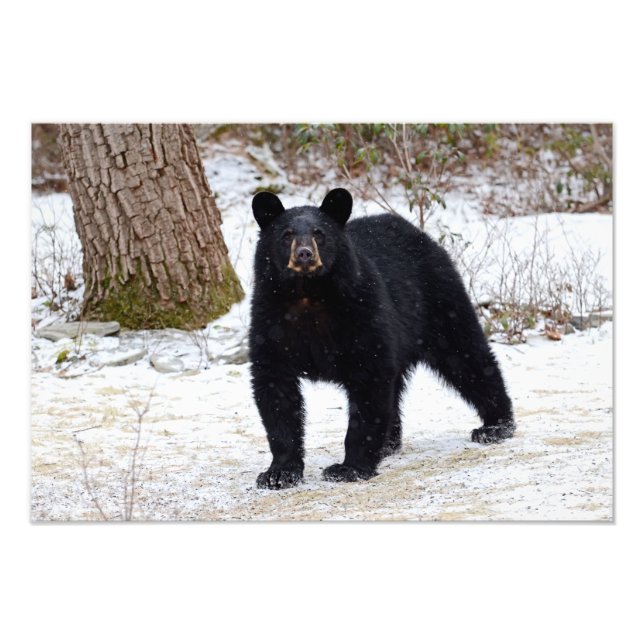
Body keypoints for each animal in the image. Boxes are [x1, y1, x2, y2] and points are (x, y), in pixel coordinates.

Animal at [249, 188, 515, 489]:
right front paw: (278, 473)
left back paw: (496, 426)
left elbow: (368, 383)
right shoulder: (269, 319)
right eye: (286, 234)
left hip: (437, 301)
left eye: (319, 233)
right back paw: (389, 443)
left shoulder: (361, 311)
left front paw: (348, 468)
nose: (304, 254)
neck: (308, 294)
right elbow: (275, 388)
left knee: (466, 355)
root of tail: (416, 231)